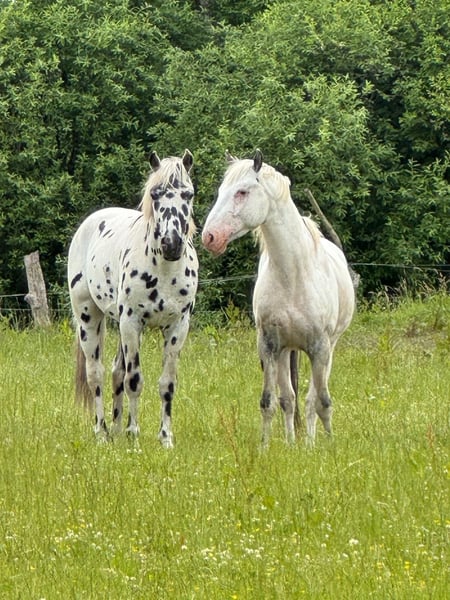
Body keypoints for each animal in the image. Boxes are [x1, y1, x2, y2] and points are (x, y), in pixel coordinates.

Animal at [68, 150, 198, 447]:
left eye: (188, 194)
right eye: (155, 194)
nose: (172, 244)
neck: (164, 270)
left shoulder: (177, 327)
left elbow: (167, 383)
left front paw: (165, 439)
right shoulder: (132, 322)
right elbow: (134, 380)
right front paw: (134, 436)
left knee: (116, 371)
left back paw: (115, 430)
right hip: (89, 317)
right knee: (97, 374)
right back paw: (102, 433)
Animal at [202, 150, 355, 445]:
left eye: (242, 192)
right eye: (221, 191)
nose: (210, 237)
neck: (293, 273)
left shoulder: (320, 347)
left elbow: (322, 401)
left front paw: (328, 445)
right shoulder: (269, 345)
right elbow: (270, 401)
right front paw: (266, 446)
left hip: (329, 347)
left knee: (312, 399)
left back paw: (310, 442)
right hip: (286, 351)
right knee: (289, 399)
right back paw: (293, 442)